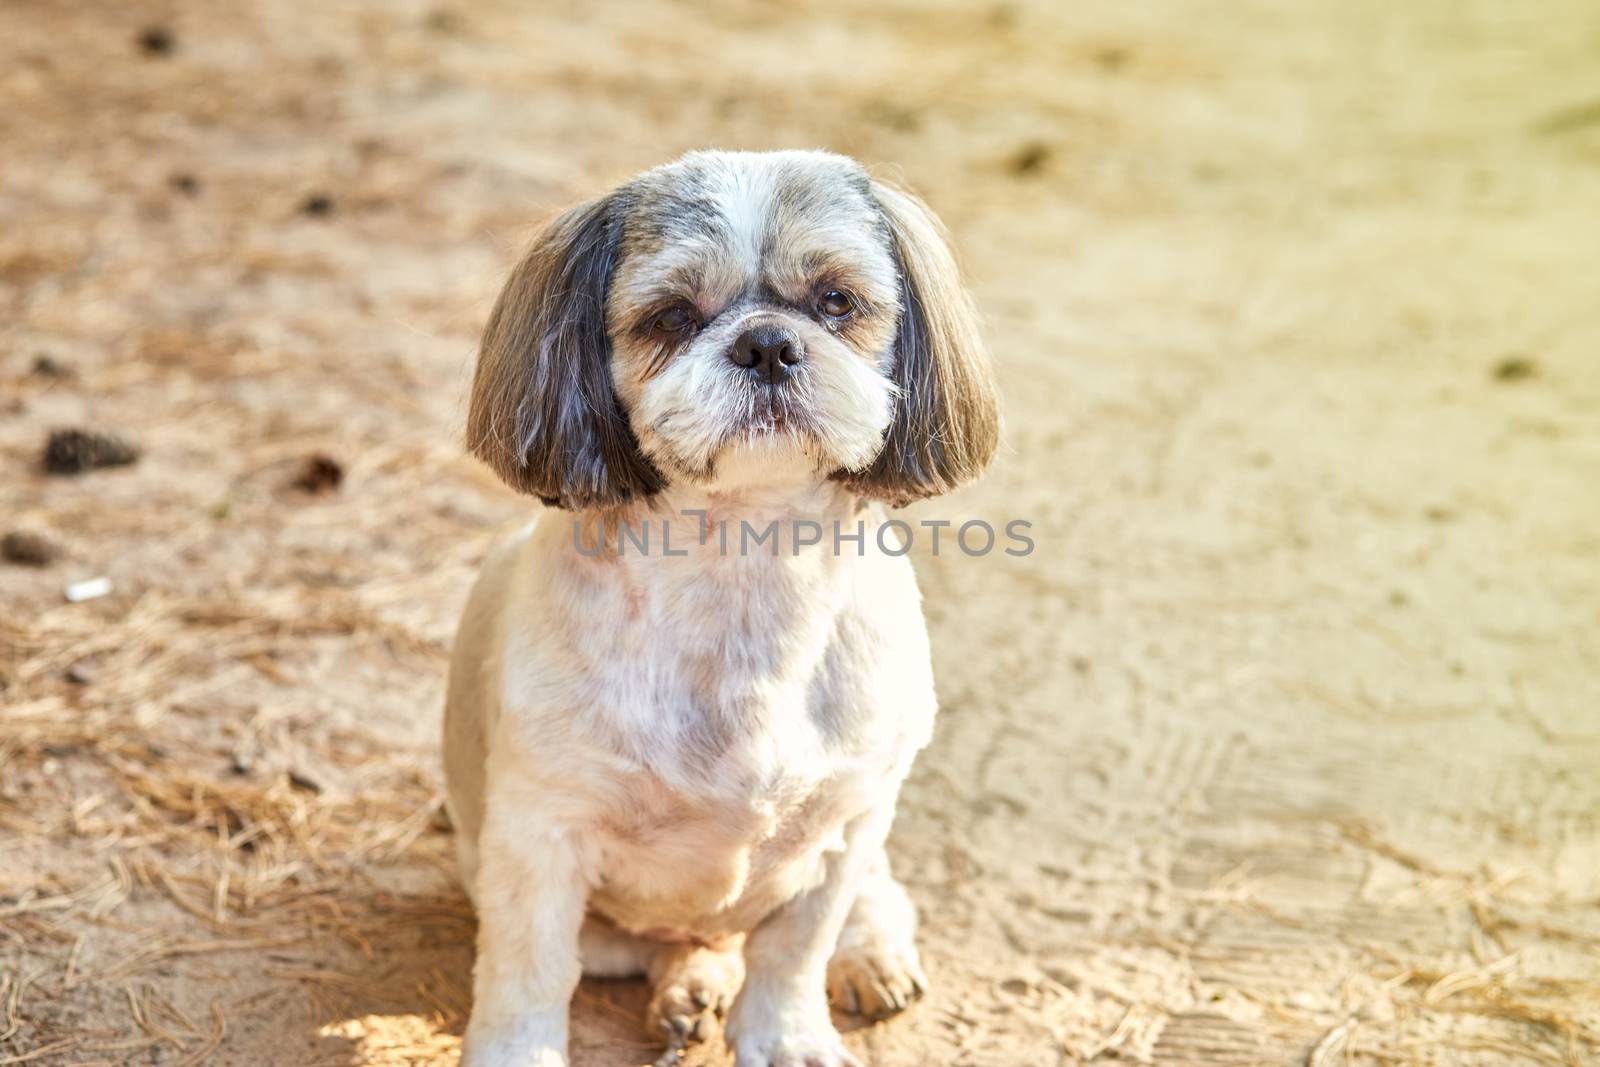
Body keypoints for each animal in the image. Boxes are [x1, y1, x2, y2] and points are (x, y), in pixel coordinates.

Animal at [448, 151, 998, 1067]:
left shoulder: (844, 822)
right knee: (667, 944)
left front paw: (787, 1035)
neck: (746, 569)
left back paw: (867, 953)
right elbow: (528, 976)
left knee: (867, 898)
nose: (767, 343)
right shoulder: (539, 836)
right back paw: (688, 989)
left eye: (836, 300)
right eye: (672, 315)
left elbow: (794, 948)